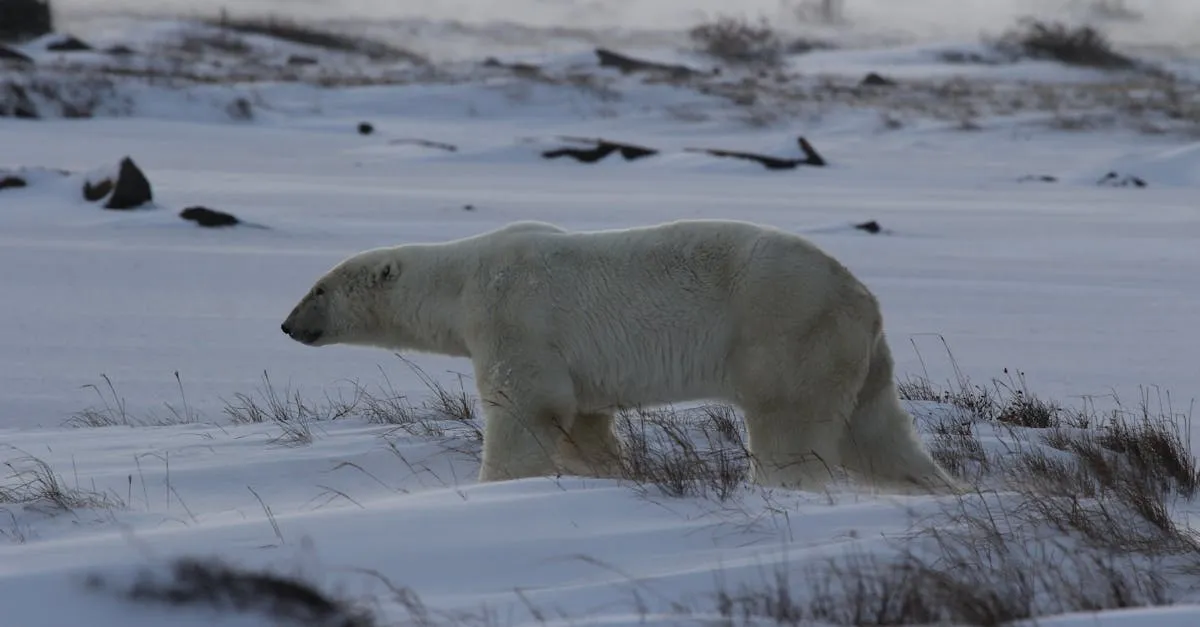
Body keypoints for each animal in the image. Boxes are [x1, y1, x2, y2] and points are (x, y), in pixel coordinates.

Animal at [280, 219, 962, 494]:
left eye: (318, 288)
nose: (287, 325)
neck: (462, 277)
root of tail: (863, 295)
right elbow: (584, 422)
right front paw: (610, 472)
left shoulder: (513, 314)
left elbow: (525, 404)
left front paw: (497, 484)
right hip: (856, 353)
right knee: (876, 432)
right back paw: (938, 488)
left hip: (787, 329)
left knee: (790, 424)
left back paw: (784, 486)